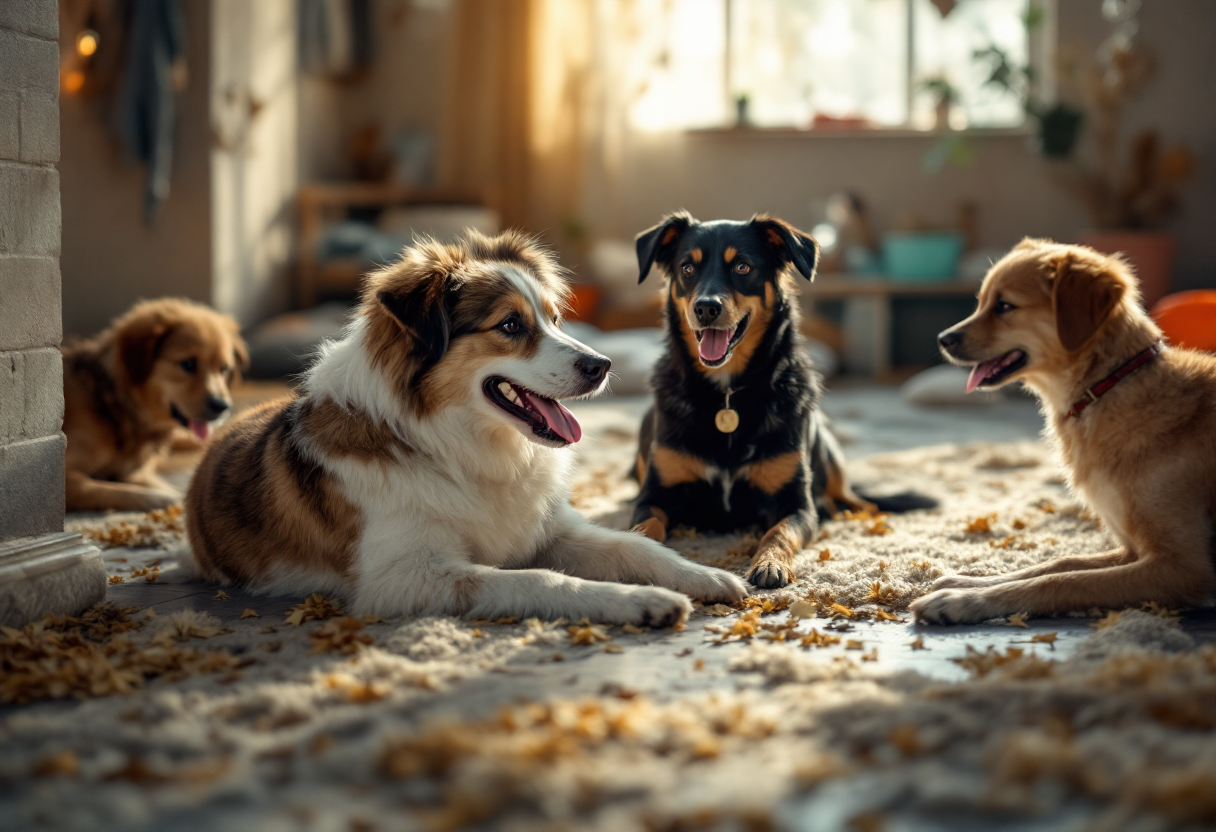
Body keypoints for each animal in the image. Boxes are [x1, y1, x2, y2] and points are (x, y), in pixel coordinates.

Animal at [62, 295, 248, 510]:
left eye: (224, 368)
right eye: (188, 364)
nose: (222, 407)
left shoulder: (134, 471)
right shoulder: (65, 472)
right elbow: (98, 488)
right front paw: (163, 498)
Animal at [184, 231, 744, 620]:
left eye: (554, 319)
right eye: (511, 325)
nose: (602, 365)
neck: (457, 446)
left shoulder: (548, 529)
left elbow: (635, 544)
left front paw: (705, 575)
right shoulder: (406, 576)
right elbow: (541, 581)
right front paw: (642, 602)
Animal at [627, 214, 929, 591]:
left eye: (742, 266)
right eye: (687, 268)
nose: (706, 308)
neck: (726, 394)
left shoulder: (795, 505)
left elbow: (779, 532)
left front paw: (769, 563)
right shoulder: (653, 497)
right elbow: (643, 531)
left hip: (830, 456)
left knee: (856, 501)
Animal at [914, 237, 1216, 620]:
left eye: (1004, 305)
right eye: (982, 301)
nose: (944, 339)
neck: (1107, 385)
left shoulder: (1184, 566)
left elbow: (1062, 581)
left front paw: (961, 601)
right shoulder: (1131, 550)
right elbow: (1060, 562)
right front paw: (968, 581)